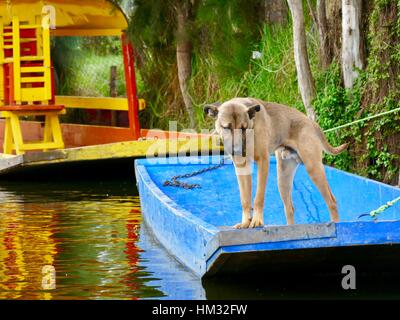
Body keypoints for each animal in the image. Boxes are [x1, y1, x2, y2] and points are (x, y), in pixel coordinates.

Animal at [205, 97, 348, 228]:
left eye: (244, 128)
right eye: (226, 127)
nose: (237, 149)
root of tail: (312, 123)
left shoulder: (263, 162)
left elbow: (258, 197)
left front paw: (257, 221)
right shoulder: (241, 167)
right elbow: (245, 199)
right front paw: (245, 222)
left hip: (313, 168)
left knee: (332, 201)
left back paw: (338, 226)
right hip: (283, 179)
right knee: (289, 208)